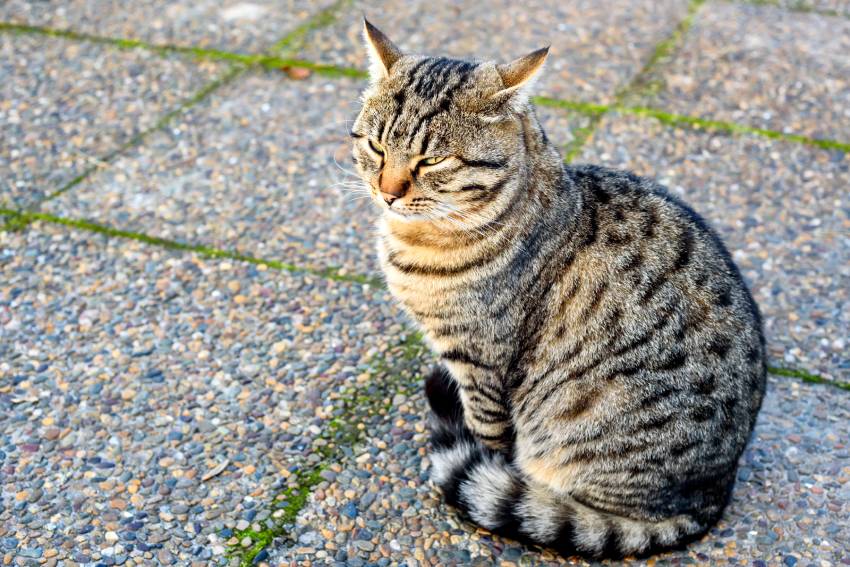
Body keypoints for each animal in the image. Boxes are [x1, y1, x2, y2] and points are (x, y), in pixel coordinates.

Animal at [348, 20, 764, 560]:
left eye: (432, 160)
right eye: (376, 146)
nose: (388, 192)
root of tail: (711, 496)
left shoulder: (481, 361)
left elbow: (487, 435)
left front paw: (483, 461)